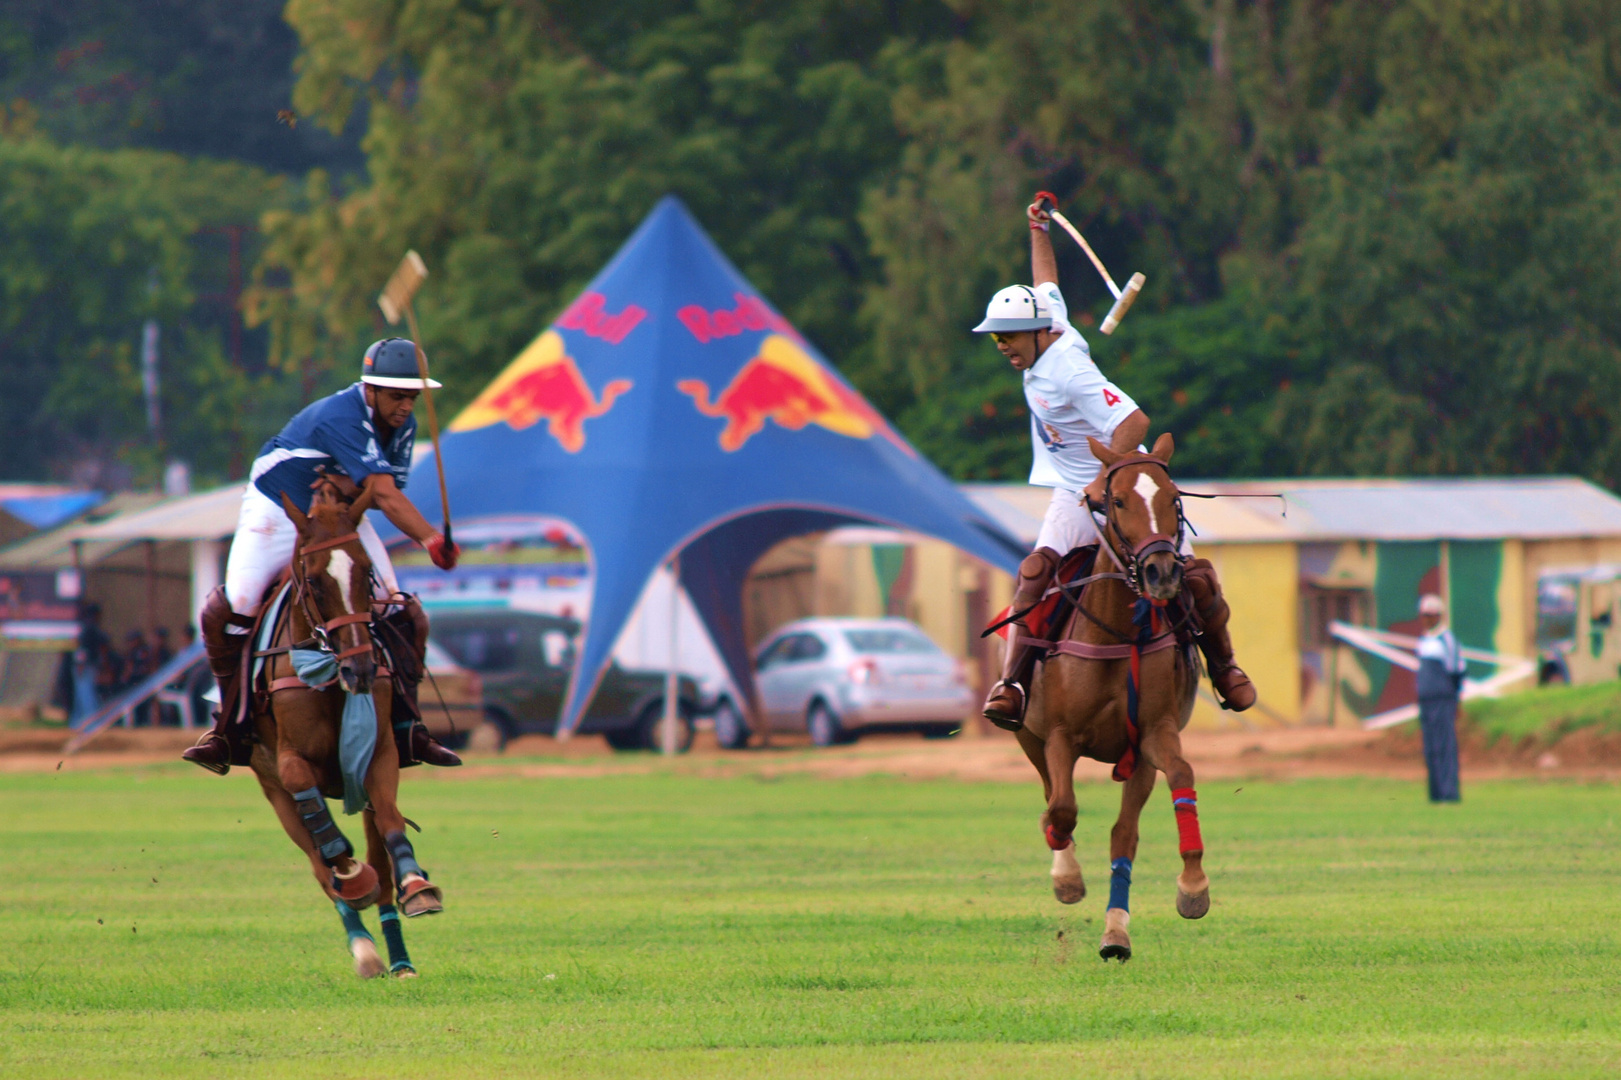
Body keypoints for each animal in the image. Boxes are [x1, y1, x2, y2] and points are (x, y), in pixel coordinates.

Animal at [244, 480, 444, 972]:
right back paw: (364, 948)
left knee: (379, 863)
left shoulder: (380, 753)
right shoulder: (289, 763)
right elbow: (326, 841)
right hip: (274, 793)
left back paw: (398, 959)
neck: (330, 675)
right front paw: (350, 872)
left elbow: (391, 824)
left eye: (367, 573)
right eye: (314, 579)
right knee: (319, 866)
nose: (362, 670)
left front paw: (418, 887)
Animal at [1017, 434, 1212, 960]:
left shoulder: (1153, 734)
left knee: (1123, 834)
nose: (1161, 572)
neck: (1116, 631)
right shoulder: (1059, 735)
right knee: (1052, 795)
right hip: (1028, 735)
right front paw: (1066, 876)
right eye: (1118, 501)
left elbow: (1180, 776)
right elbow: (1062, 808)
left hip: (1137, 762)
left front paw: (1193, 887)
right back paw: (1065, 871)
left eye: (1174, 498)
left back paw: (1115, 935)